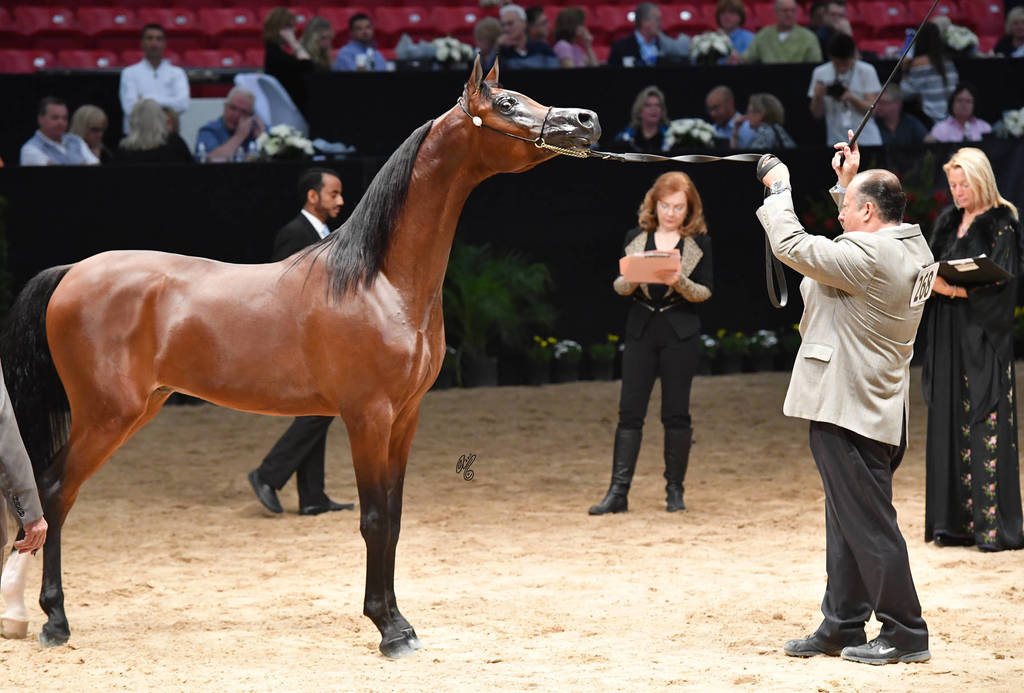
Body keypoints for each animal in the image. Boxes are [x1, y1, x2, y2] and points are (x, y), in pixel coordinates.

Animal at [0, 56, 600, 658]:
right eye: (506, 103)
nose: (586, 119)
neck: (379, 281)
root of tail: (71, 273)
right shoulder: (368, 417)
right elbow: (374, 518)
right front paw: (387, 629)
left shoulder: (405, 418)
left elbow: (395, 519)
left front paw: (401, 622)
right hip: (106, 416)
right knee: (54, 492)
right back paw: (54, 620)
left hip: (139, 408)